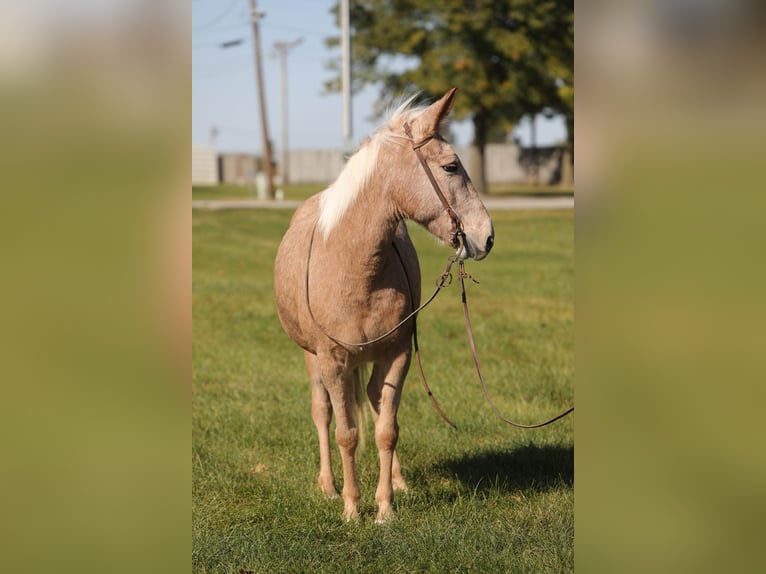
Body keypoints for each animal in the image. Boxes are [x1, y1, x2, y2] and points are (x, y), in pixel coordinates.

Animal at [272, 88, 496, 524]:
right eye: (451, 166)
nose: (487, 236)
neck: (353, 267)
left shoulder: (397, 355)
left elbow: (386, 429)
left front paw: (386, 508)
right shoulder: (333, 361)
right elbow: (345, 433)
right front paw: (351, 508)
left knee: (376, 405)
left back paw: (398, 482)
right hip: (313, 360)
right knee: (322, 412)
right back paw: (328, 485)